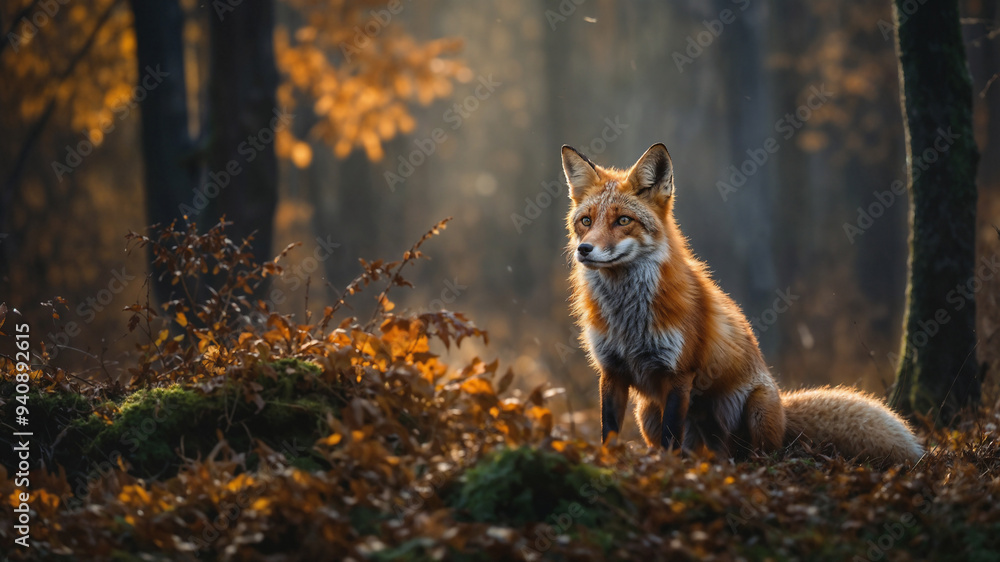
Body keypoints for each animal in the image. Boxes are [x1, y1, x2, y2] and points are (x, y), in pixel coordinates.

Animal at [562, 142, 923, 466]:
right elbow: (609, 431)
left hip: (757, 408)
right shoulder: (611, 370)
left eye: (623, 220)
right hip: (647, 411)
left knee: (762, 454)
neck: (627, 318)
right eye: (586, 221)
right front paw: (608, 464)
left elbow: (671, 438)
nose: (585, 250)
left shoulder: (679, 373)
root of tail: (783, 407)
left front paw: (668, 472)